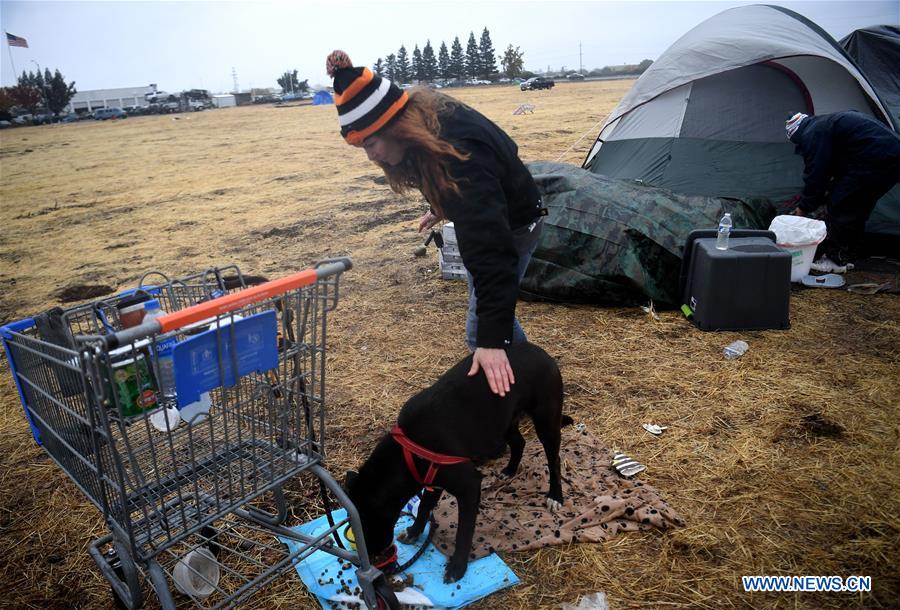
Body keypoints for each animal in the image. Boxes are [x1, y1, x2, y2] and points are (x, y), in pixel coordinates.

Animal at [346, 340, 568, 580]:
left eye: (366, 521)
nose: (372, 556)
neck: (408, 452)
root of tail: (542, 352)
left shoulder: (468, 486)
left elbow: (464, 530)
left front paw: (458, 566)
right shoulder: (433, 481)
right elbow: (424, 508)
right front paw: (415, 532)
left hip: (546, 422)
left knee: (554, 461)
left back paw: (555, 496)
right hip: (502, 423)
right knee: (519, 443)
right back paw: (509, 470)